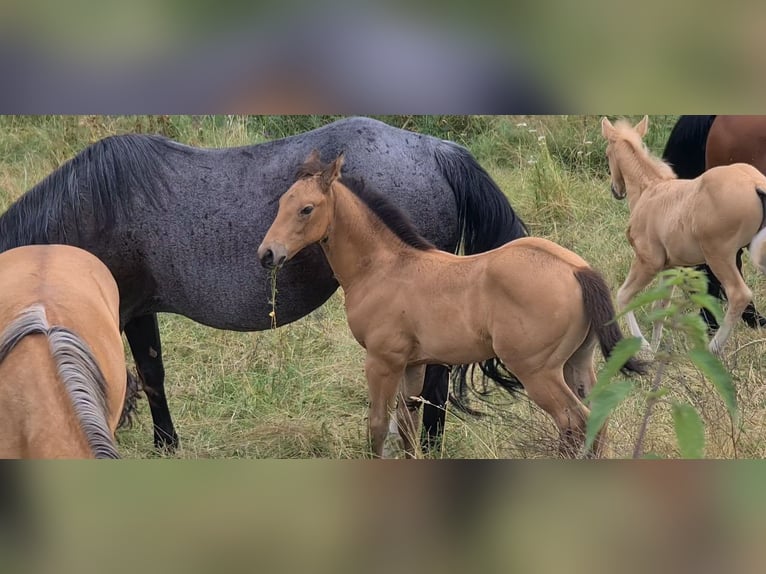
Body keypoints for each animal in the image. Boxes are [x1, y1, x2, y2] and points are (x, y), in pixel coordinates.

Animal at [257, 151, 645, 458]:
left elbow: (378, 426)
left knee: (573, 421)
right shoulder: (413, 365)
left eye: (307, 209)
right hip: (577, 363)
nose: (267, 254)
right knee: (597, 420)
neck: (384, 266)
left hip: (538, 371)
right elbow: (408, 424)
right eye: (281, 203)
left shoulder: (382, 361)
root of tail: (577, 270)